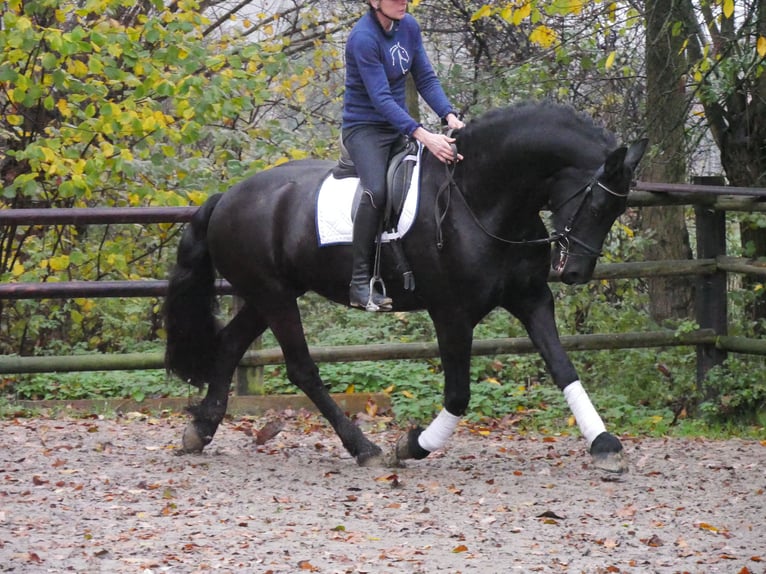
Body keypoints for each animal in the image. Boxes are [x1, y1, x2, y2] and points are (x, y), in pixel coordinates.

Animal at [164, 101, 647, 473]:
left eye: (617, 208)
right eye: (598, 202)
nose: (577, 272)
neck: (483, 200)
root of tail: (226, 197)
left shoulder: (531, 300)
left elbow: (563, 367)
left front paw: (605, 445)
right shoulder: (452, 314)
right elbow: (459, 394)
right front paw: (412, 445)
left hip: (269, 294)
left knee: (230, 344)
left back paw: (201, 430)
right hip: (274, 296)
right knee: (301, 369)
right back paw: (365, 448)